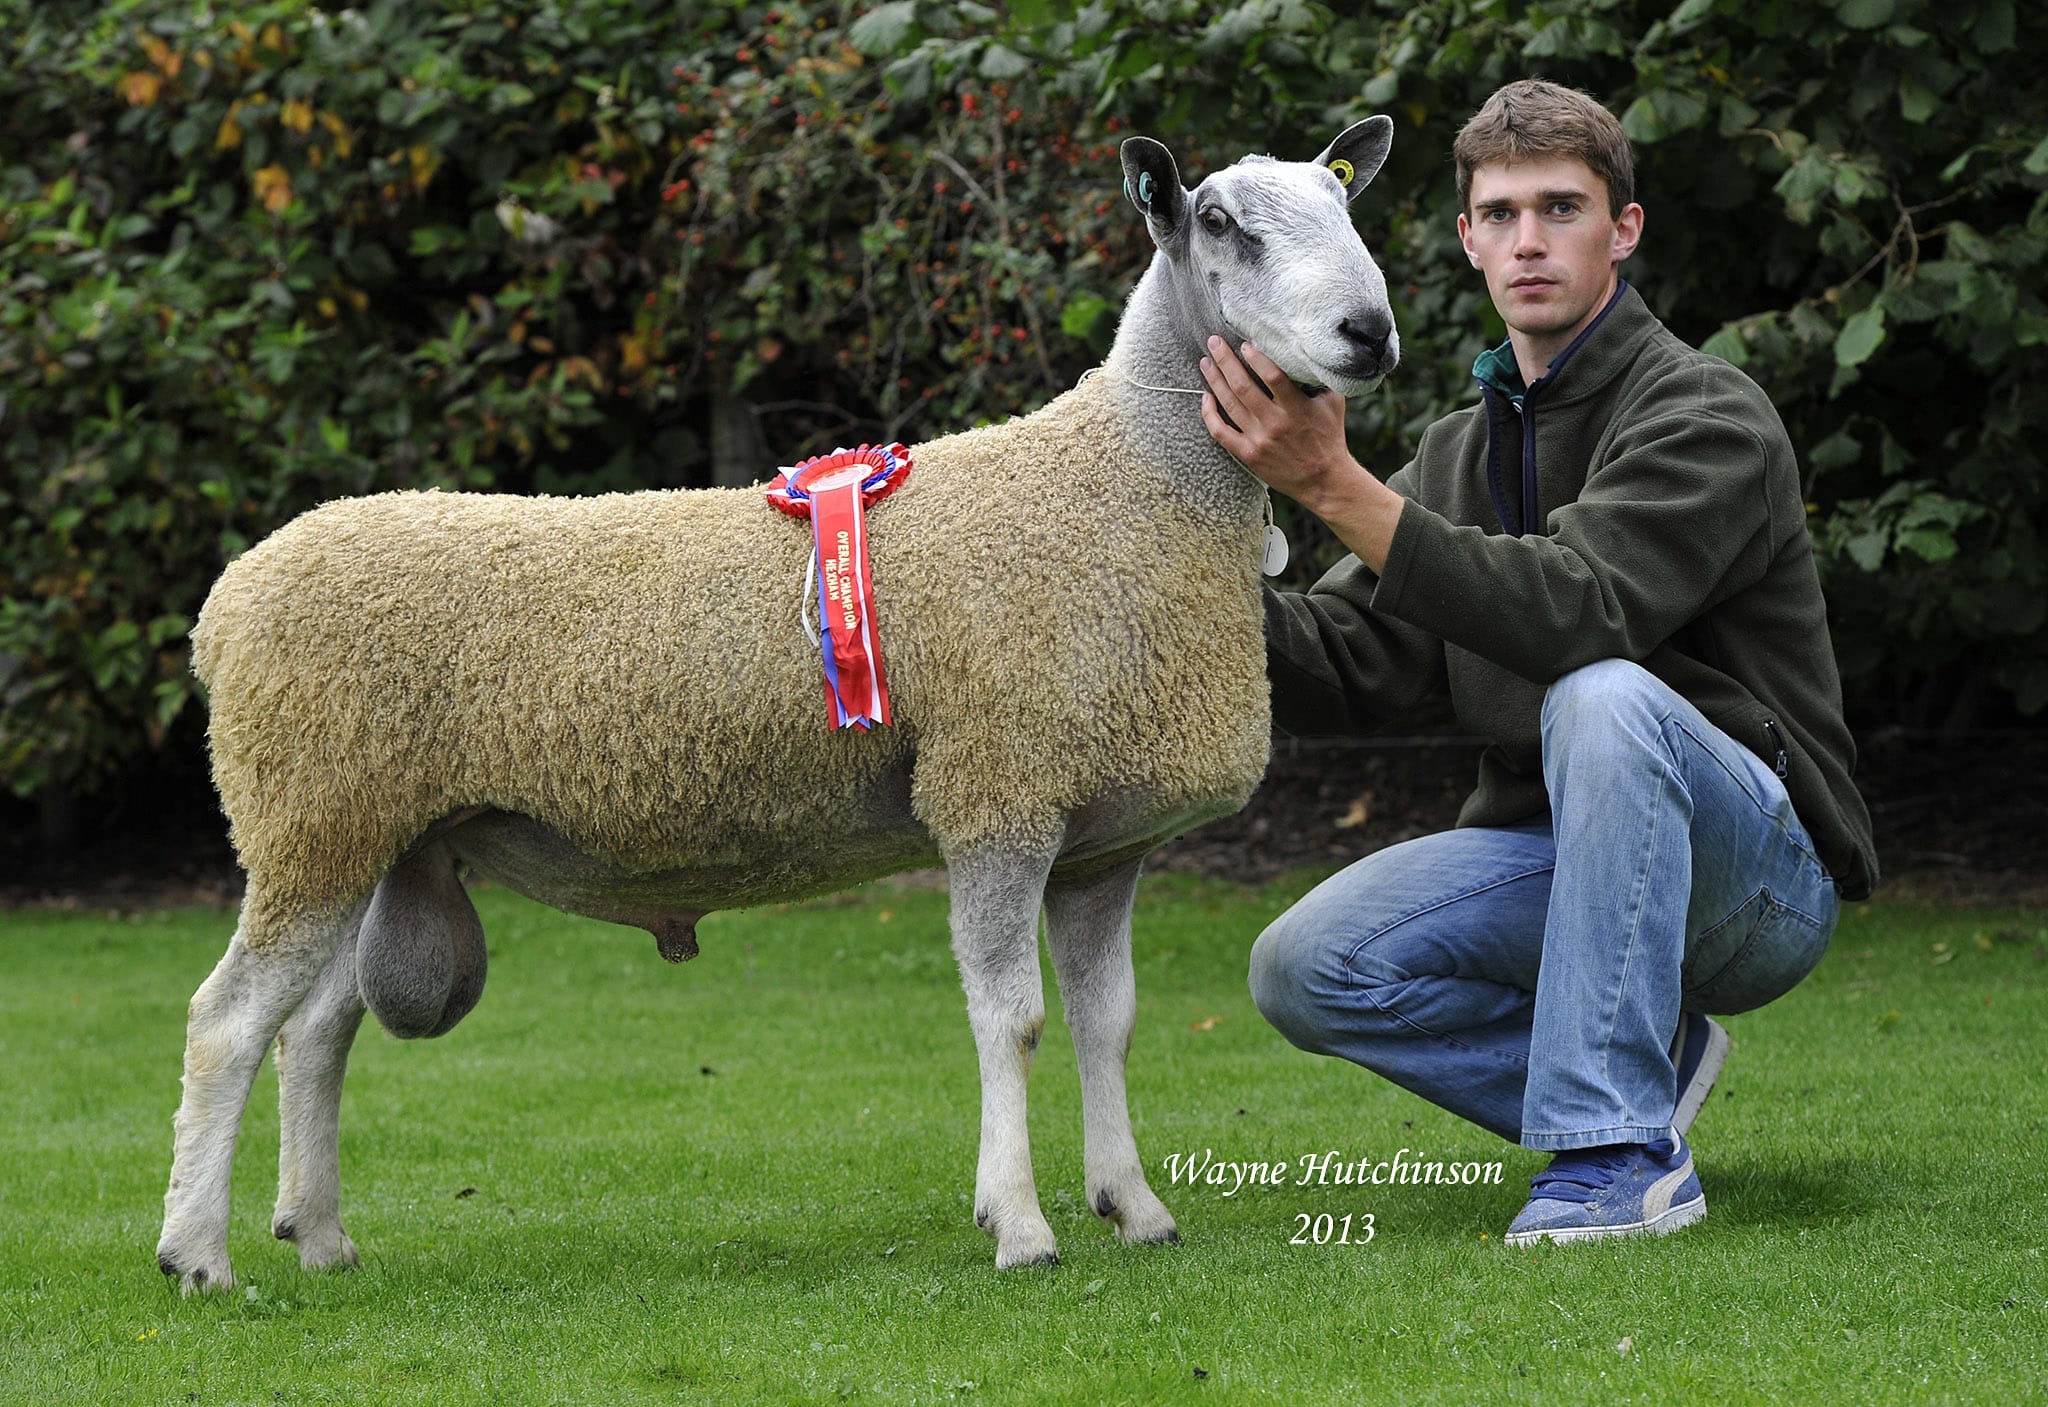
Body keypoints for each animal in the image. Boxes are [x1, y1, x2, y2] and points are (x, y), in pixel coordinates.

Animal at [159, 115, 1400, 1294]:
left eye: (1344, 202)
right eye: (1221, 222)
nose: (1369, 334)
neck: (1124, 487)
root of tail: (224, 607)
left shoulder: (1101, 841)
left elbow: (1109, 1026)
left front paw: (1133, 1209)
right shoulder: (993, 794)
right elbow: (1012, 1023)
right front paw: (1021, 1228)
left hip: (368, 830)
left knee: (315, 1032)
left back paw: (319, 1237)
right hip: (308, 814)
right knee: (228, 1024)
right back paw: (198, 1256)